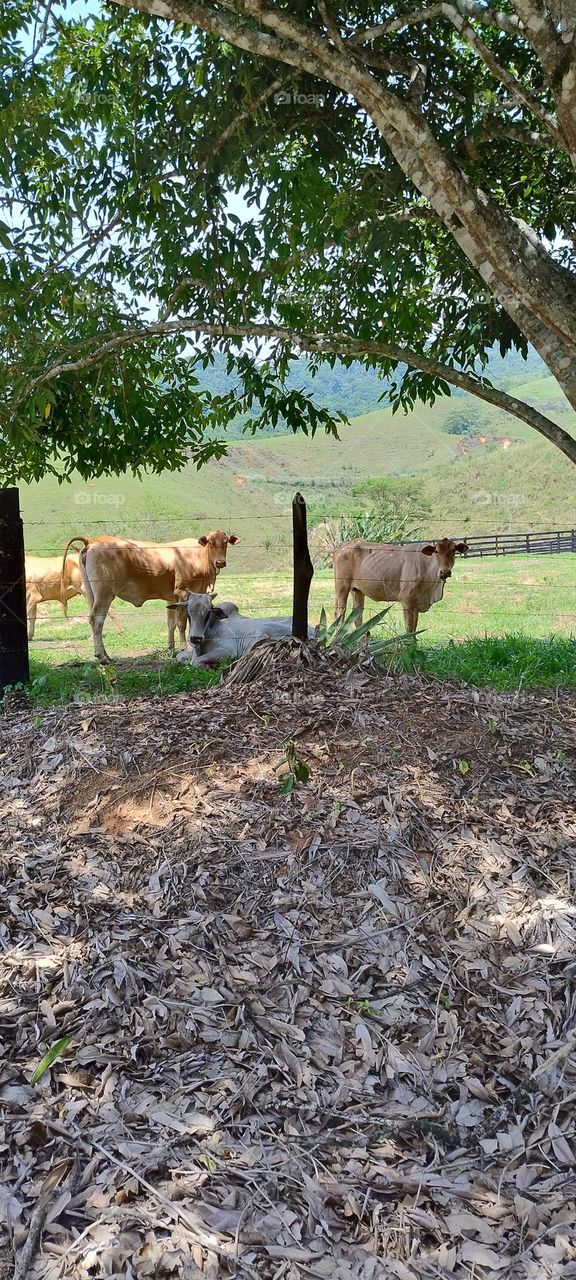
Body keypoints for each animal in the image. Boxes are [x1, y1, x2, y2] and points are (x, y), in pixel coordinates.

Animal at [61, 531, 240, 663]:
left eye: (225, 542)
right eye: (210, 542)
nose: (220, 562)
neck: (199, 557)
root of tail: (93, 541)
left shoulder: (171, 598)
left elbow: (171, 623)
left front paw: (170, 648)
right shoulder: (182, 593)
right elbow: (181, 623)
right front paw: (184, 647)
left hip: (91, 594)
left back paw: (106, 655)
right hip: (104, 594)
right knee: (97, 620)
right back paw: (102, 657)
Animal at [174, 592, 314, 665]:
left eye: (208, 613)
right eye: (188, 613)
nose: (195, 638)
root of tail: (314, 630)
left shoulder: (228, 650)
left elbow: (196, 662)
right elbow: (179, 656)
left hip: (263, 630)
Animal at [334, 537, 469, 635]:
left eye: (453, 551)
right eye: (436, 551)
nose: (445, 572)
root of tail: (342, 547)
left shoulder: (416, 603)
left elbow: (414, 628)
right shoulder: (406, 600)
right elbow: (409, 628)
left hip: (357, 590)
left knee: (357, 617)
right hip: (342, 587)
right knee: (340, 614)